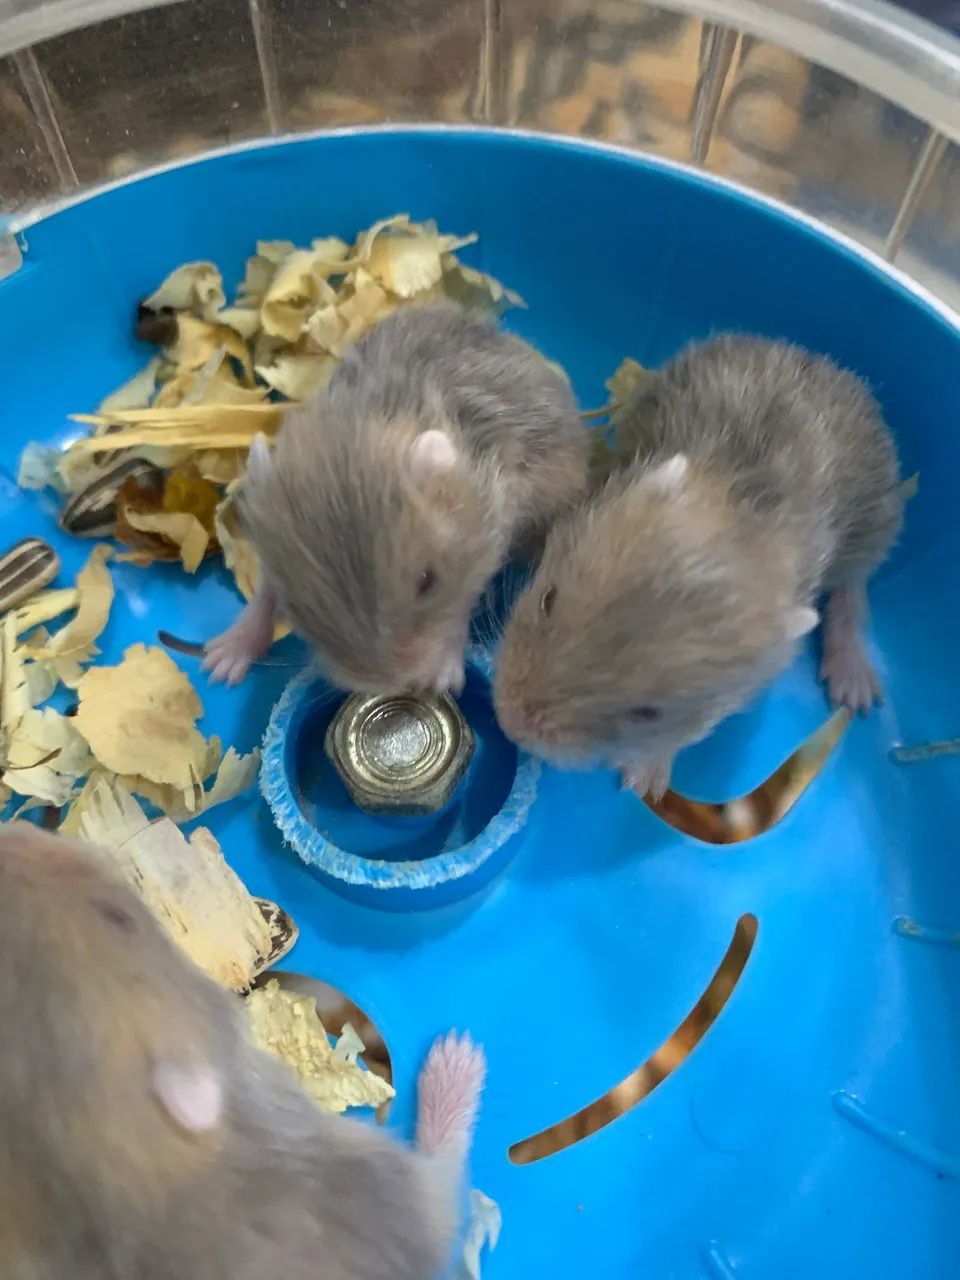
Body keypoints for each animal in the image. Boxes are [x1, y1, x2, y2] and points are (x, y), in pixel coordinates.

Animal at [204, 302, 588, 693]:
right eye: (295, 602)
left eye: (427, 581)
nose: (387, 684)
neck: (359, 424)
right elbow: (264, 596)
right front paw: (218, 666)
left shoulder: (488, 534)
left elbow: (459, 604)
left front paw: (442, 679)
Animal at [494, 335, 903, 800]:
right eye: (547, 599)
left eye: (648, 714)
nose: (509, 720)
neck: (744, 506)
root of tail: (821, 360)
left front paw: (642, 782)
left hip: (876, 523)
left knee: (852, 589)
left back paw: (856, 692)